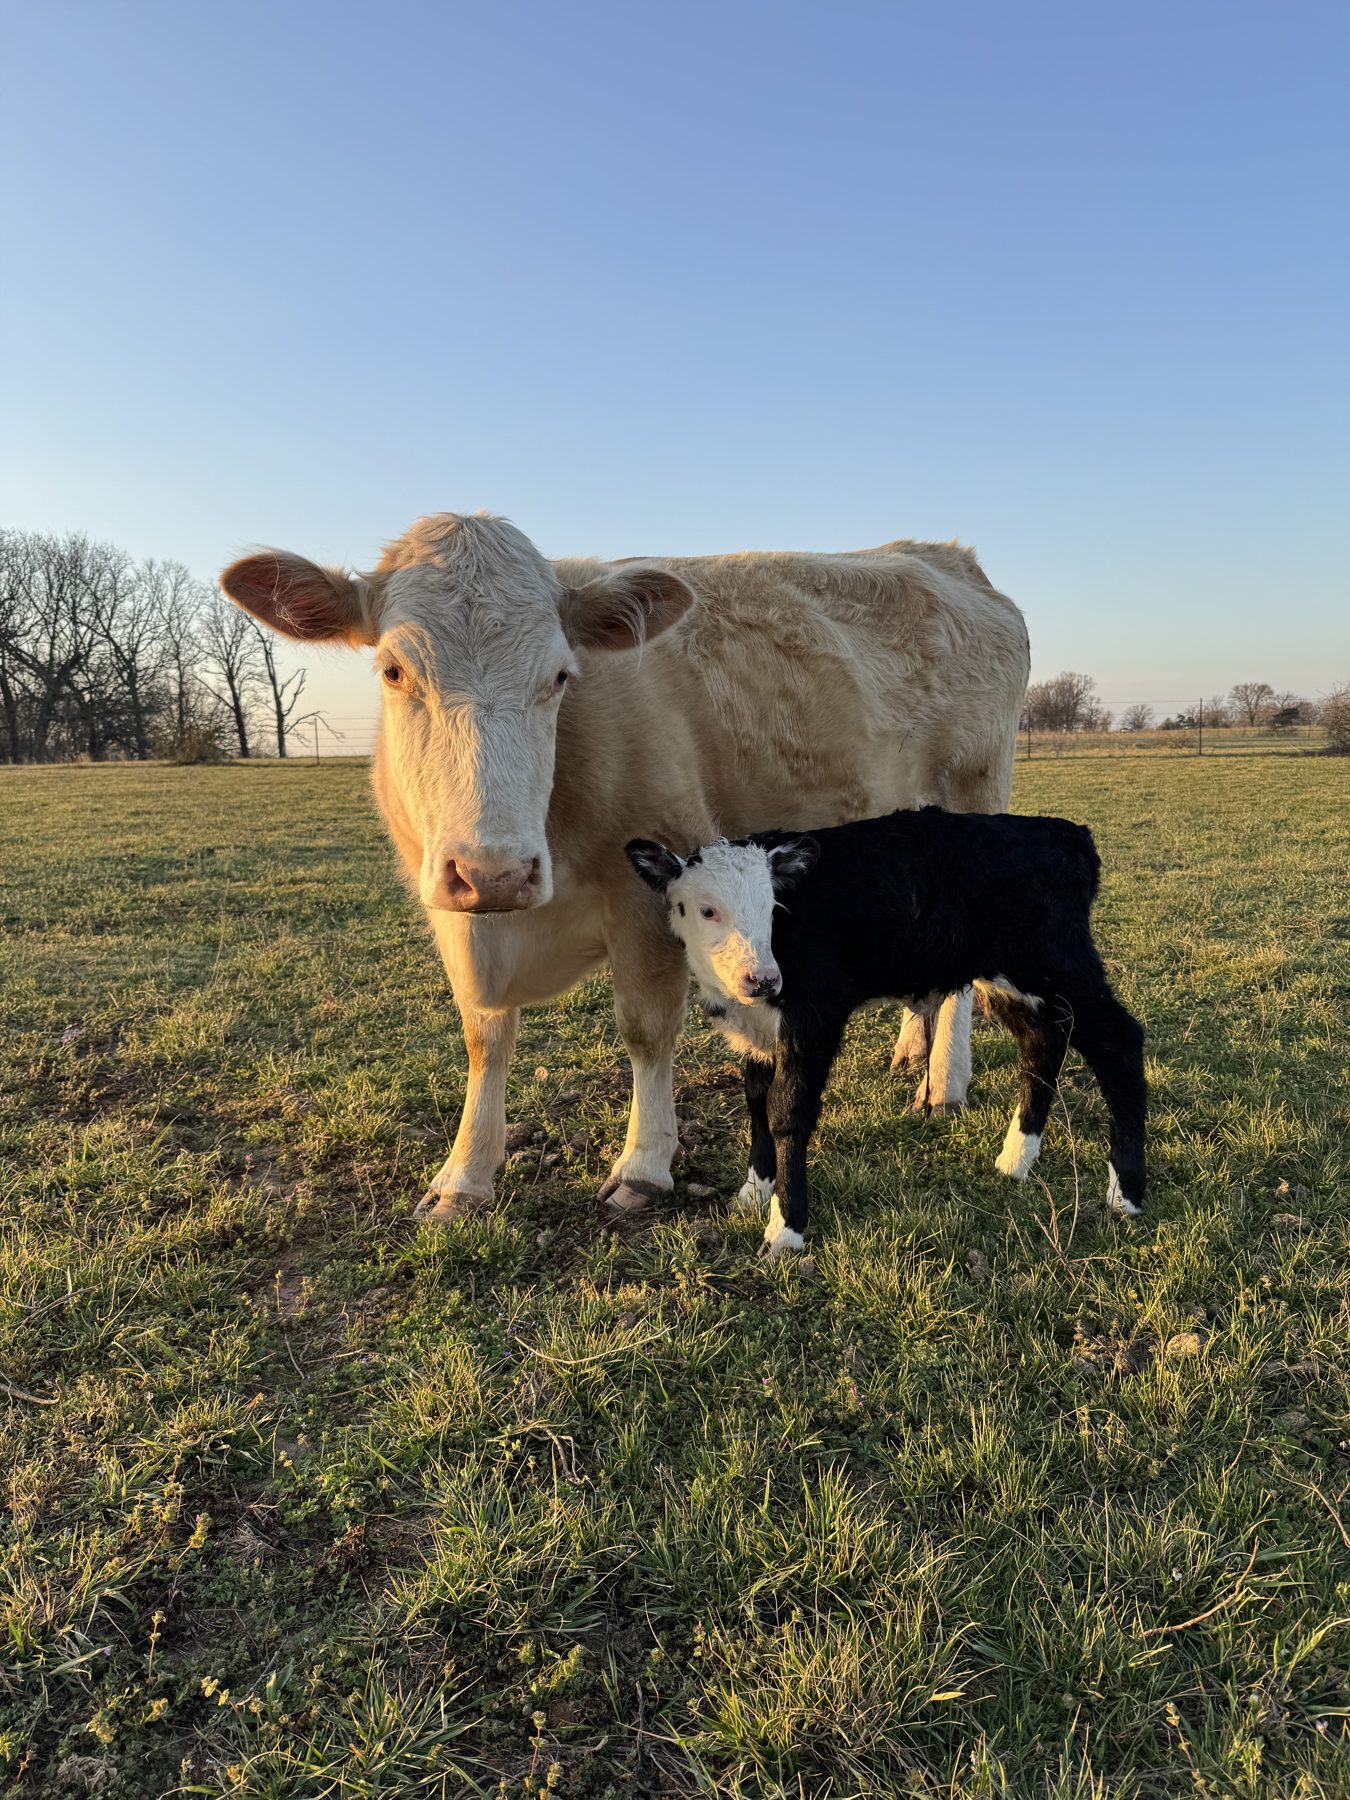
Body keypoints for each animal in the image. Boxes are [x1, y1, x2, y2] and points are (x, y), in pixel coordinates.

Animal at [220, 512, 1030, 1222]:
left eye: (560, 676)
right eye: (393, 670)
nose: (497, 873)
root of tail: (947, 558)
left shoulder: (649, 893)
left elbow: (645, 1031)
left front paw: (643, 1165)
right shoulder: (451, 909)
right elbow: (485, 1038)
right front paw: (464, 1176)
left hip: (974, 792)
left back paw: (945, 1082)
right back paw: (913, 1048)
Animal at [625, 812, 1147, 1256]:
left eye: (773, 908)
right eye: (706, 910)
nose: (764, 980)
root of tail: (1066, 832)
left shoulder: (815, 1015)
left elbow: (787, 1109)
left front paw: (785, 1228)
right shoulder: (758, 1029)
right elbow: (756, 1099)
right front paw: (755, 1190)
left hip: (1061, 965)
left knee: (1119, 1042)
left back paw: (1126, 1192)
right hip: (1009, 976)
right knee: (1043, 1042)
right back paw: (1016, 1160)